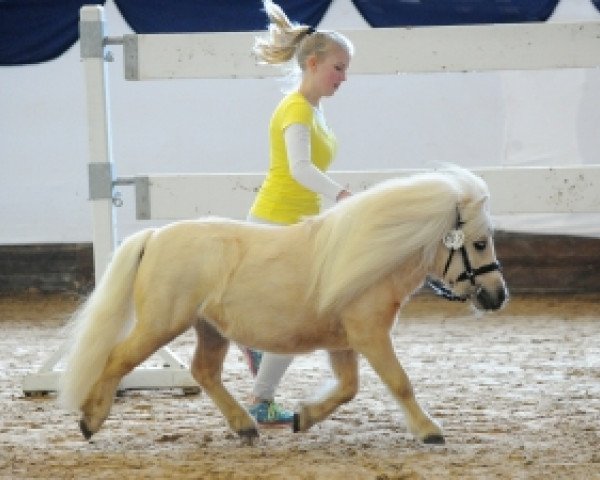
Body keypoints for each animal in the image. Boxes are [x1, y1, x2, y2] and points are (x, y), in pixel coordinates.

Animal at [58, 167, 506, 444]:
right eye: (480, 242)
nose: (498, 296)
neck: (370, 258)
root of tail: (153, 237)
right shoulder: (370, 335)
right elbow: (399, 383)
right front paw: (429, 430)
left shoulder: (345, 341)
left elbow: (349, 388)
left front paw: (304, 418)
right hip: (160, 325)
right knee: (117, 359)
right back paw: (90, 420)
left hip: (210, 329)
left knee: (205, 372)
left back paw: (244, 426)